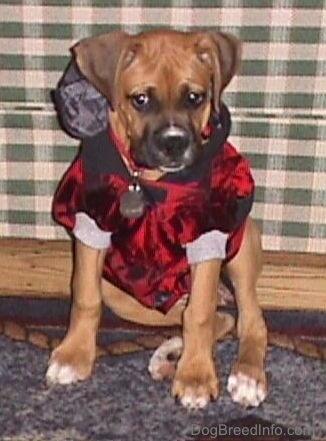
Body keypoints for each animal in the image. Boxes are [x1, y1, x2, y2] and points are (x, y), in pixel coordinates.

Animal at [47, 30, 268, 410]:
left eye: (195, 97)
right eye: (141, 100)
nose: (174, 144)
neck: (145, 179)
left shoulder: (206, 234)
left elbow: (199, 315)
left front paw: (195, 377)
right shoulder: (92, 223)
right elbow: (85, 297)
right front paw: (74, 355)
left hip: (240, 248)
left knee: (248, 321)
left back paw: (245, 376)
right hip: (123, 294)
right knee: (214, 315)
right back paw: (170, 355)